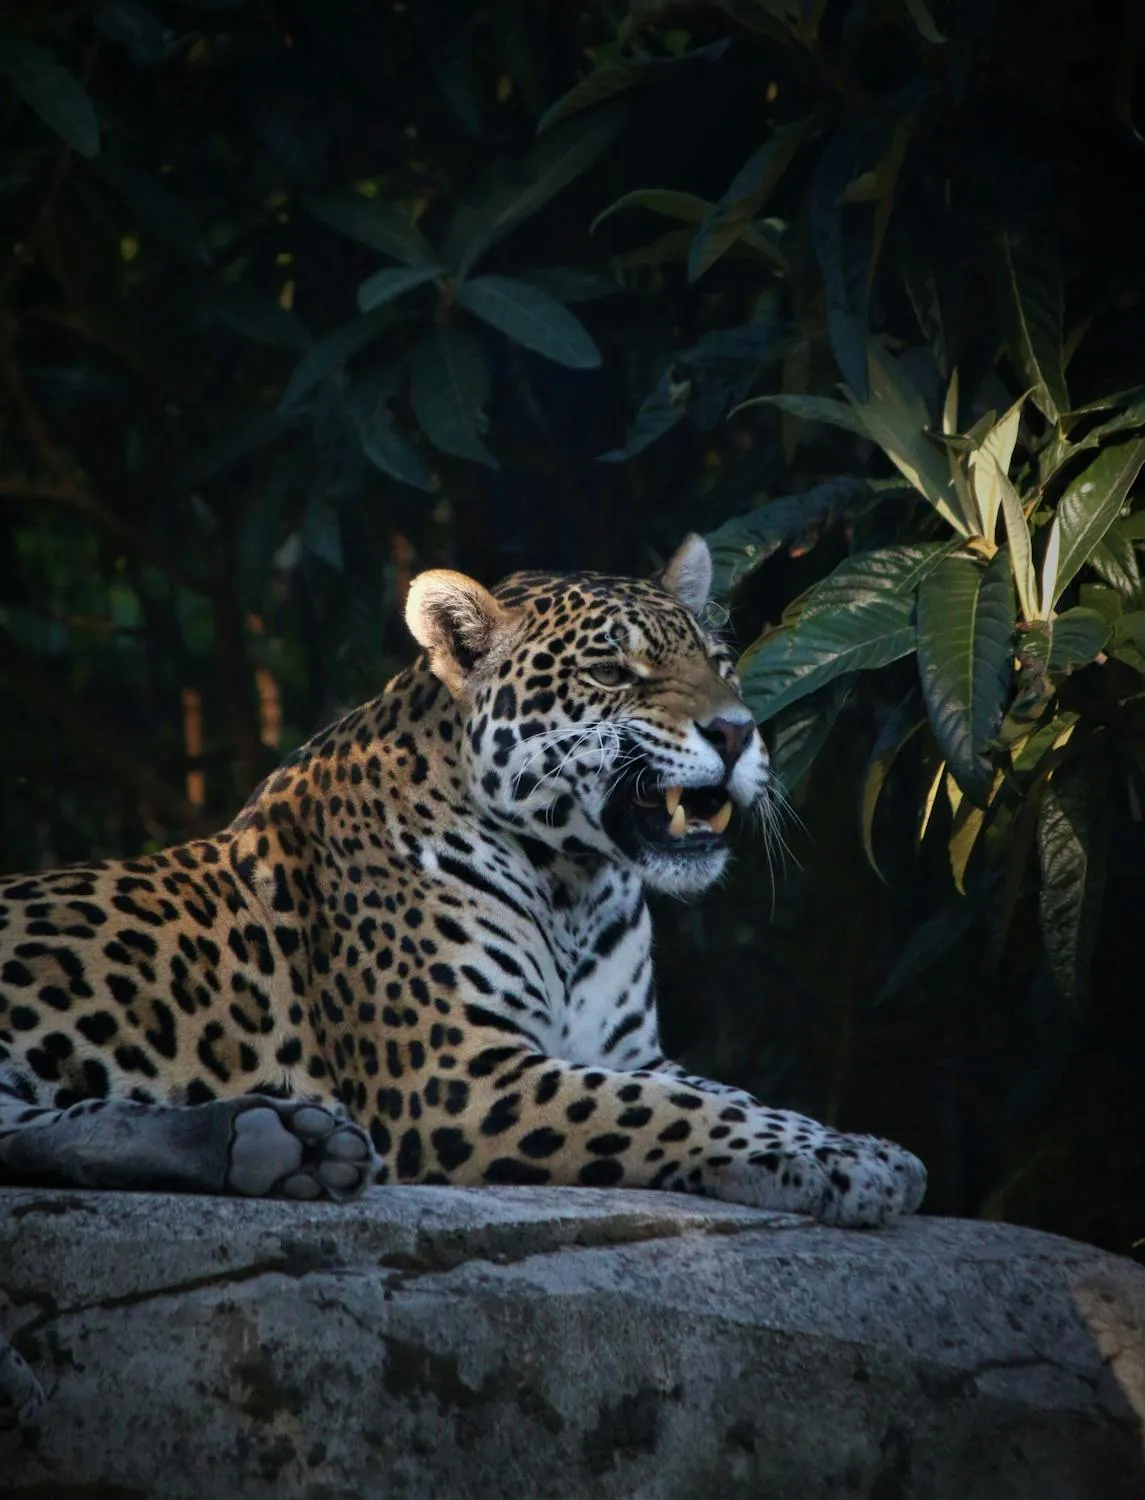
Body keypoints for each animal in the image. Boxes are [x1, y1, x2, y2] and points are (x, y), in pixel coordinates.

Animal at [0, 536, 926, 1226]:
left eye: (723, 665)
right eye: (611, 674)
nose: (736, 732)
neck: (575, 883)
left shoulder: (629, 1052)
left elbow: (730, 1095)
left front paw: (856, 1147)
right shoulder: (458, 1074)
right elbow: (670, 1111)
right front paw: (851, 1164)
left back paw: (277, 1143)